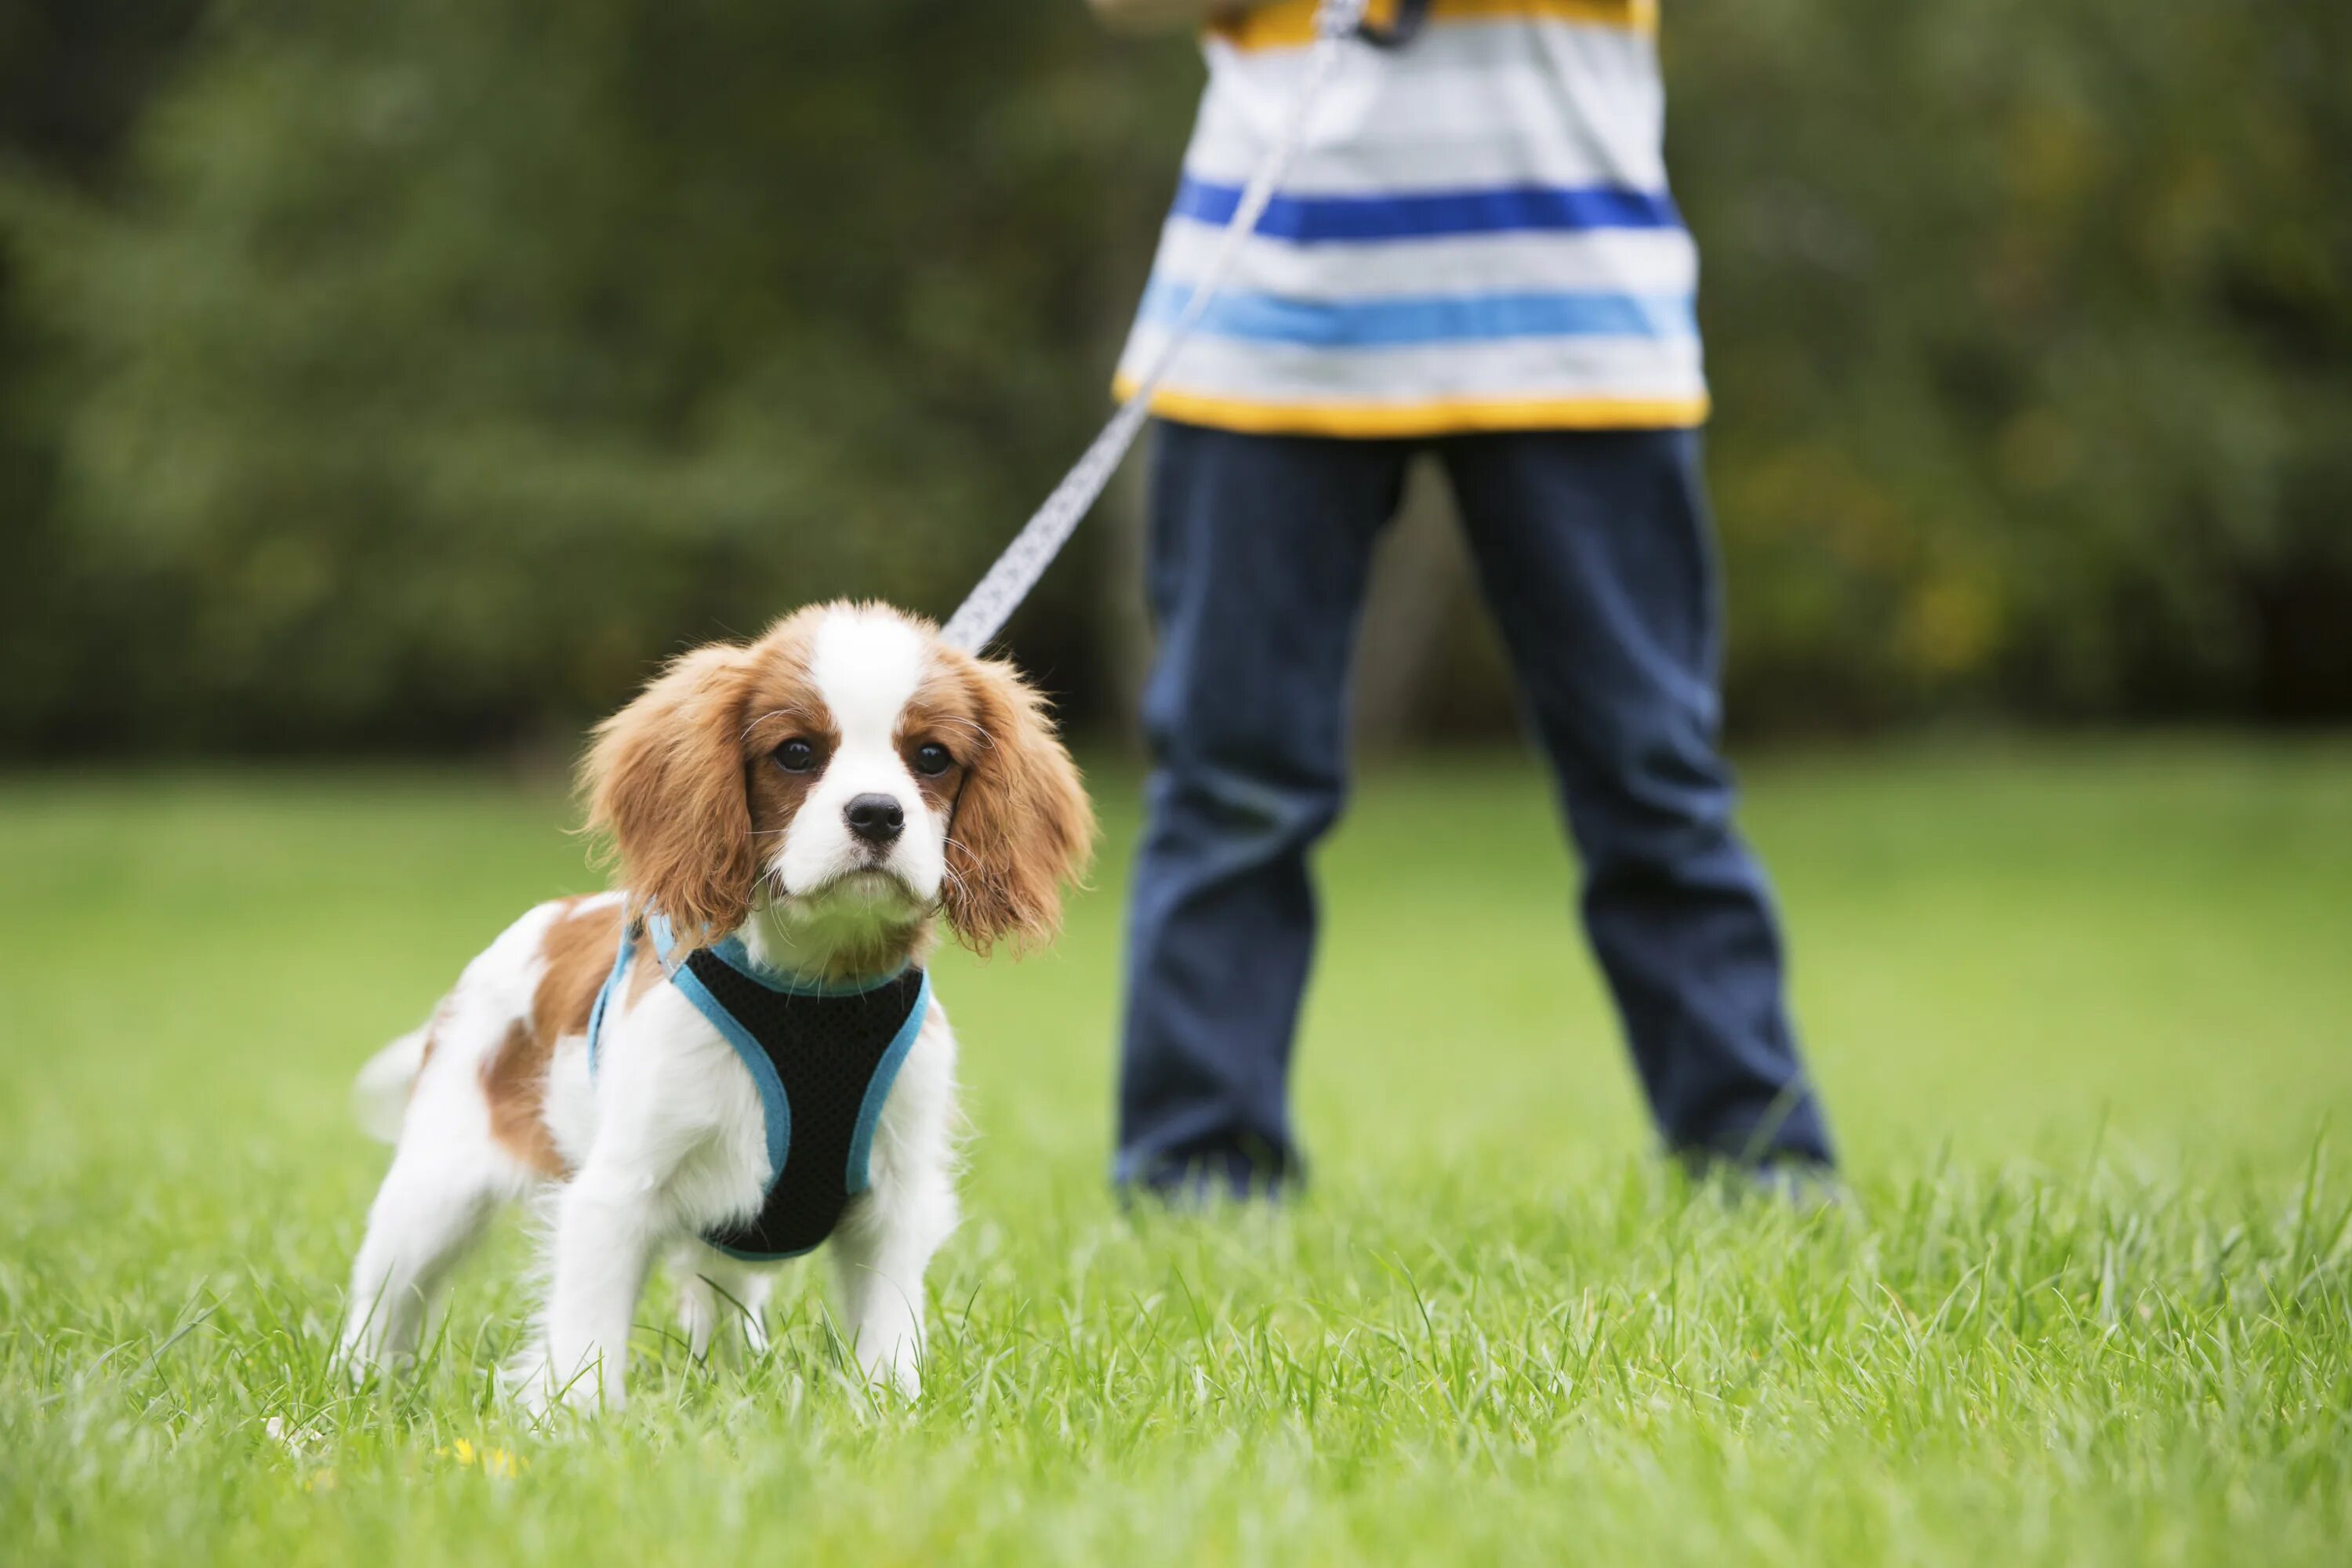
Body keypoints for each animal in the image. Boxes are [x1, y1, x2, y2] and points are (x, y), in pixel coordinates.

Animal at [341, 601, 1091, 1410]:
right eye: (795, 753)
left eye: (931, 758)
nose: (877, 814)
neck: (814, 992)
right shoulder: (616, 1193)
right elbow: (585, 1339)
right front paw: (580, 1424)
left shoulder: (895, 1200)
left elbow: (888, 1333)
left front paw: (888, 1409)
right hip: (435, 1188)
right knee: (385, 1296)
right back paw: (354, 1387)